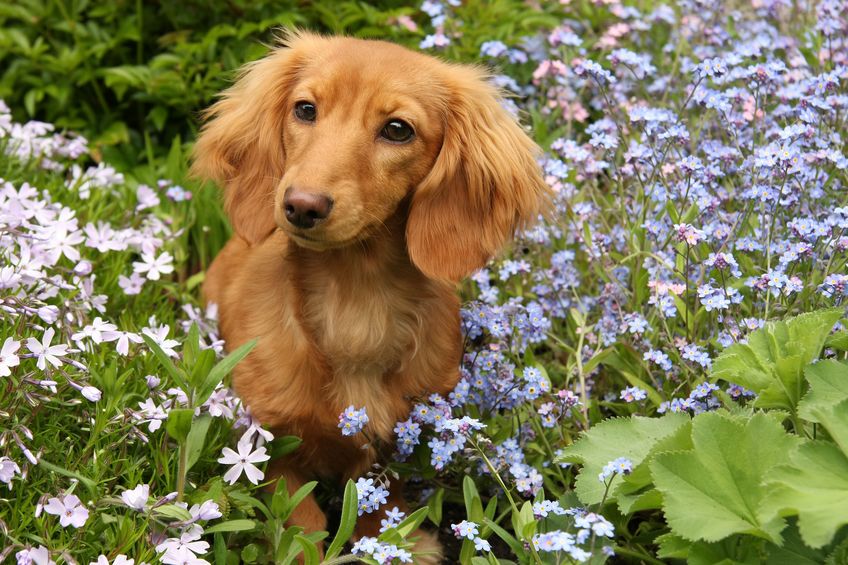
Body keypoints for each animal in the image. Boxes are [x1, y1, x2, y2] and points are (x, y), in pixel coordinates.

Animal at [192, 29, 548, 556]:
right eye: (305, 109)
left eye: (398, 129)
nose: (301, 205)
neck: (356, 301)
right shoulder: (271, 442)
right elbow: (299, 520)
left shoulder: (399, 437)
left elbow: (381, 502)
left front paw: (396, 542)